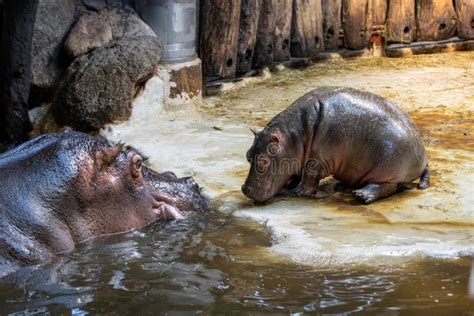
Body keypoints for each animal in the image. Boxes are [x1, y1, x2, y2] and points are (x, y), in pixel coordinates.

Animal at [243, 87, 432, 205]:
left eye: (264, 161)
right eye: (248, 155)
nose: (245, 190)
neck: (293, 136)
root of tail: (424, 158)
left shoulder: (317, 160)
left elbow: (309, 174)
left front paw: (299, 192)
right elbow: (297, 170)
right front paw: (290, 184)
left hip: (389, 169)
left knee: (388, 187)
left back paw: (361, 195)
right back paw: (343, 186)